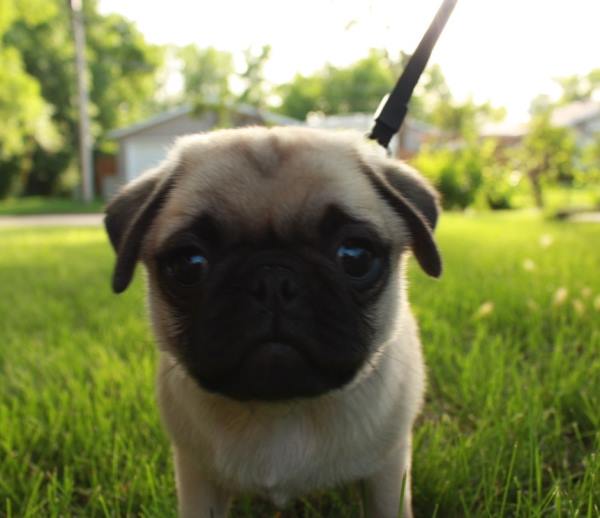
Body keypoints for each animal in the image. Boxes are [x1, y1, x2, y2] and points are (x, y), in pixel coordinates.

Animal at [104, 127, 440, 518]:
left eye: (355, 256)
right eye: (189, 263)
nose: (273, 280)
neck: (281, 410)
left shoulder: (387, 472)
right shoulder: (197, 478)